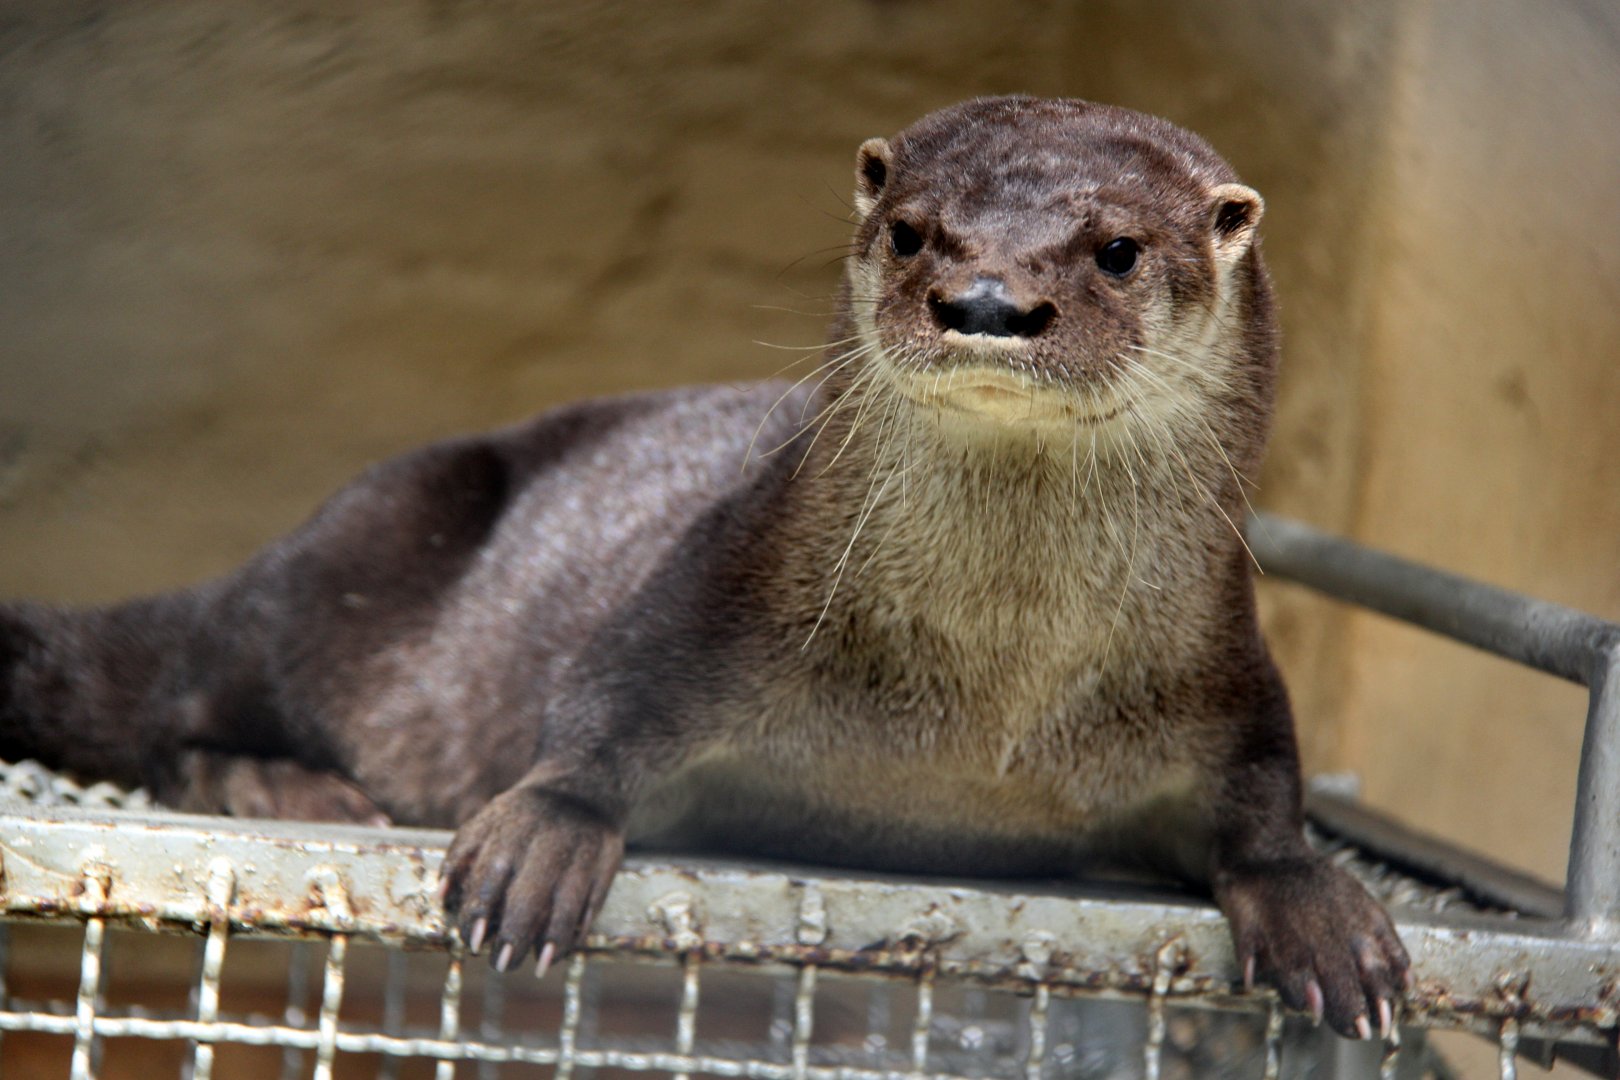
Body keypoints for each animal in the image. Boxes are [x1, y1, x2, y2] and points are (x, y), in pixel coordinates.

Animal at [0, 97, 1407, 1039]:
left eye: (1117, 248)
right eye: (914, 233)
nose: (989, 303)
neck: (984, 702)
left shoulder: (1225, 671)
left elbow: (1264, 807)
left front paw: (1318, 909)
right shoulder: (712, 585)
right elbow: (600, 705)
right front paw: (543, 837)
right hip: (343, 563)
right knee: (175, 703)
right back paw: (298, 786)